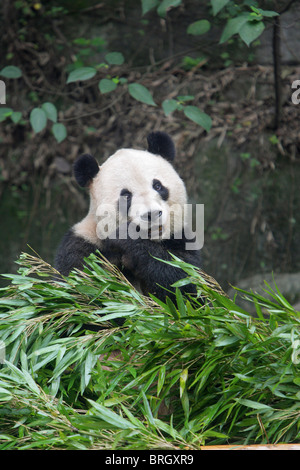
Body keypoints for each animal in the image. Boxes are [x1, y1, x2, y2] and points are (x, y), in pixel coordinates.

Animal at [55, 131, 203, 302]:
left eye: (158, 186)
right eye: (126, 196)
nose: (152, 214)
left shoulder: (180, 241)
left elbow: (188, 286)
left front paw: (129, 241)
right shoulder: (83, 244)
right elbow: (80, 291)